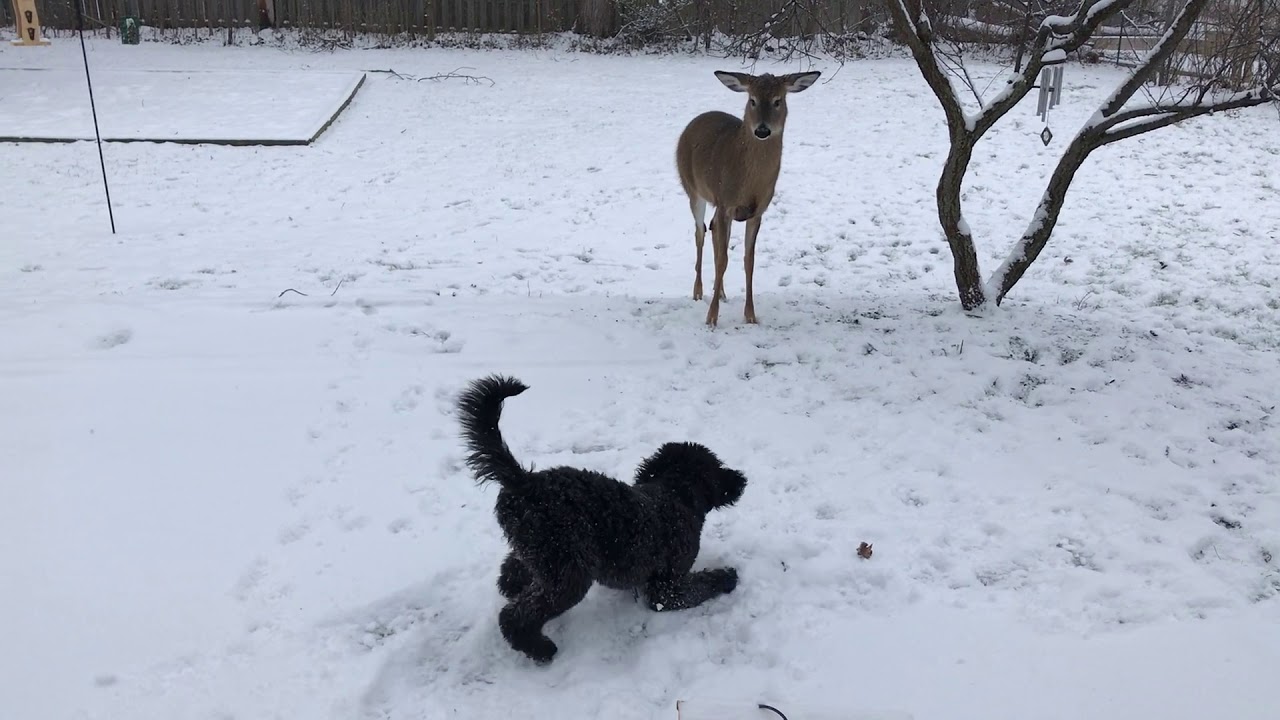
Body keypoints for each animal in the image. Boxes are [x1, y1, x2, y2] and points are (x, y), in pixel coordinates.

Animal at [455, 376, 747, 661]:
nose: (738, 479)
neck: (675, 493)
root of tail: (525, 482)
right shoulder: (666, 588)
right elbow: (699, 585)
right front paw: (727, 577)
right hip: (568, 573)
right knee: (514, 616)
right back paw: (541, 649)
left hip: (542, 553)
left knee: (513, 569)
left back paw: (513, 588)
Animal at [680, 67, 819, 325]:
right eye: (752, 100)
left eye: (778, 100)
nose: (762, 130)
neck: (749, 181)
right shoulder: (725, 203)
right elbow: (723, 259)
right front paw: (711, 318)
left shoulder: (757, 211)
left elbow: (749, 260)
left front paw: (751, 315)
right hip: (693, 189)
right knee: (700, 232)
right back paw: (698, 291)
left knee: (712, 229)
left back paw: (721, 292)